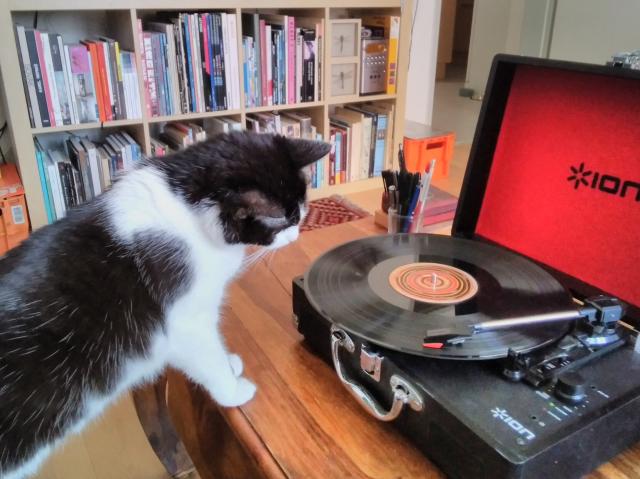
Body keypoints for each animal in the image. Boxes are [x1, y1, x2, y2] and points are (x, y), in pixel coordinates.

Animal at [0, 131, 330, 479]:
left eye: (301, 212)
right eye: (283, 222)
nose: (295, 236)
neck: (188, 211)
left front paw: (229, 363)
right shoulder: (184, 319)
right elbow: (206, 355)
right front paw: (231, 390)